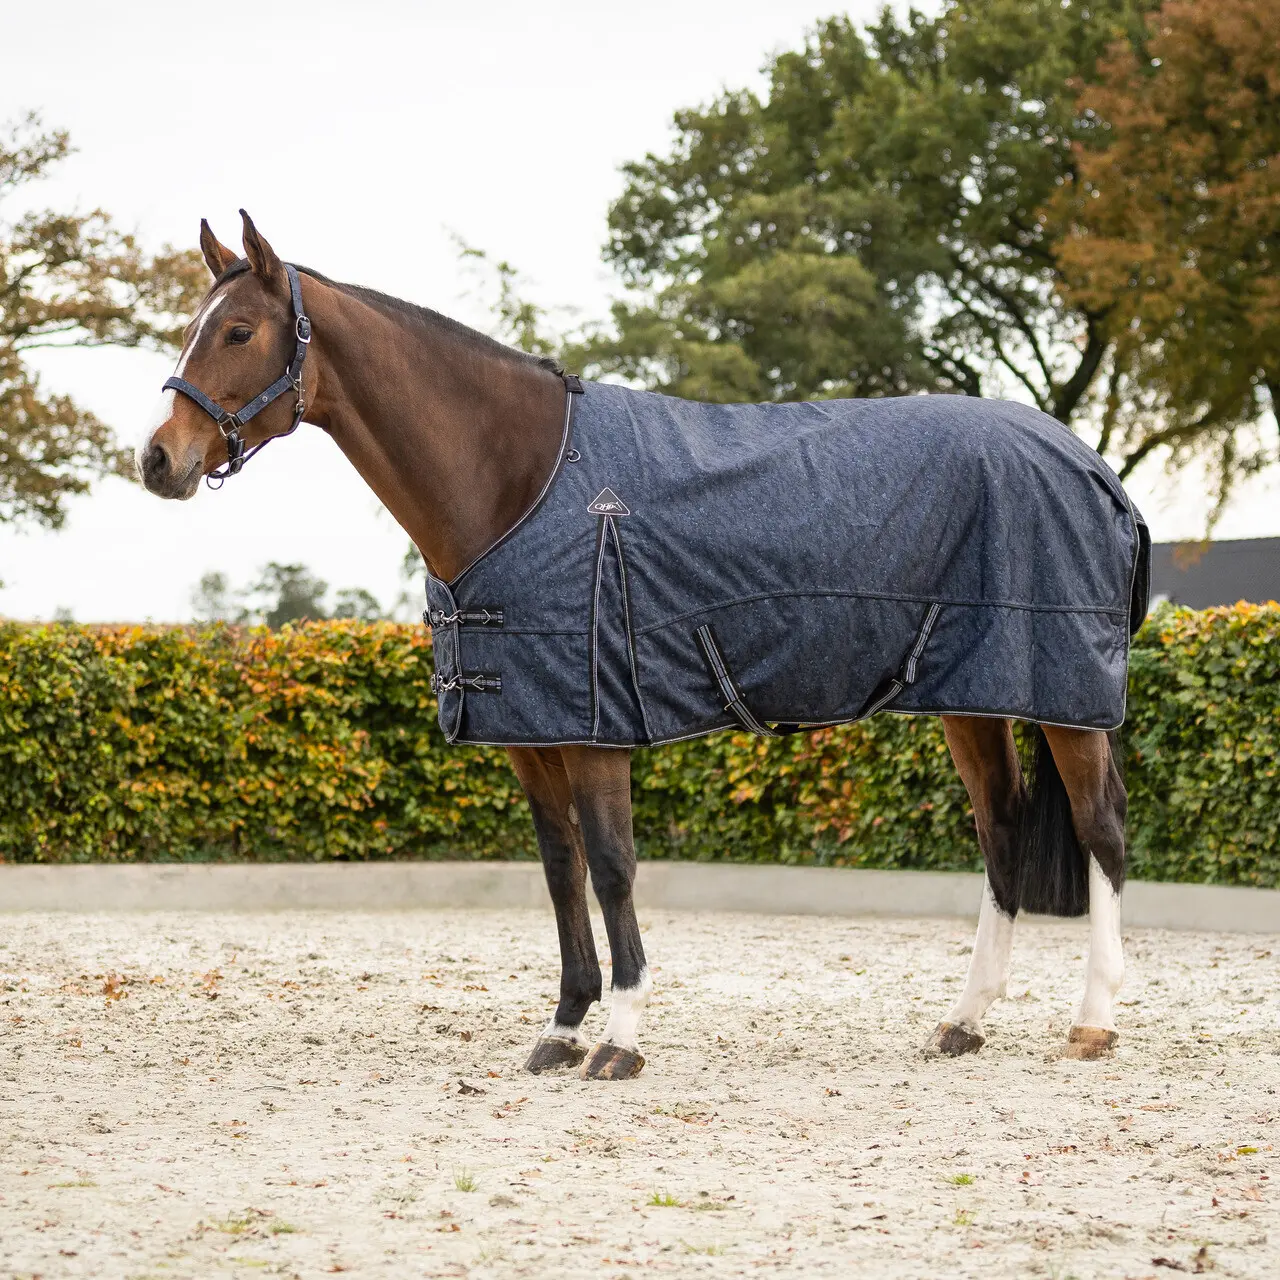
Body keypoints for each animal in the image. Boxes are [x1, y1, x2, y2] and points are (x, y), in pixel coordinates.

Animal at [137, 212, 1144, 1079]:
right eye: (195, 328)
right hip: (977, 695)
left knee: (1101, 829)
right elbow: (561, 869)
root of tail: (1093, 467)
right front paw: (562, 1028)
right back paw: (964, 1022)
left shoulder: (597, 724)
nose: (158, 459)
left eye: (237, 331)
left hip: (1068, 700)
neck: (521, 480)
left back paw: (1093, 1023)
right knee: (1002, 827)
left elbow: (615, 866)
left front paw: (619, 1038)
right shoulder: (532, 732)